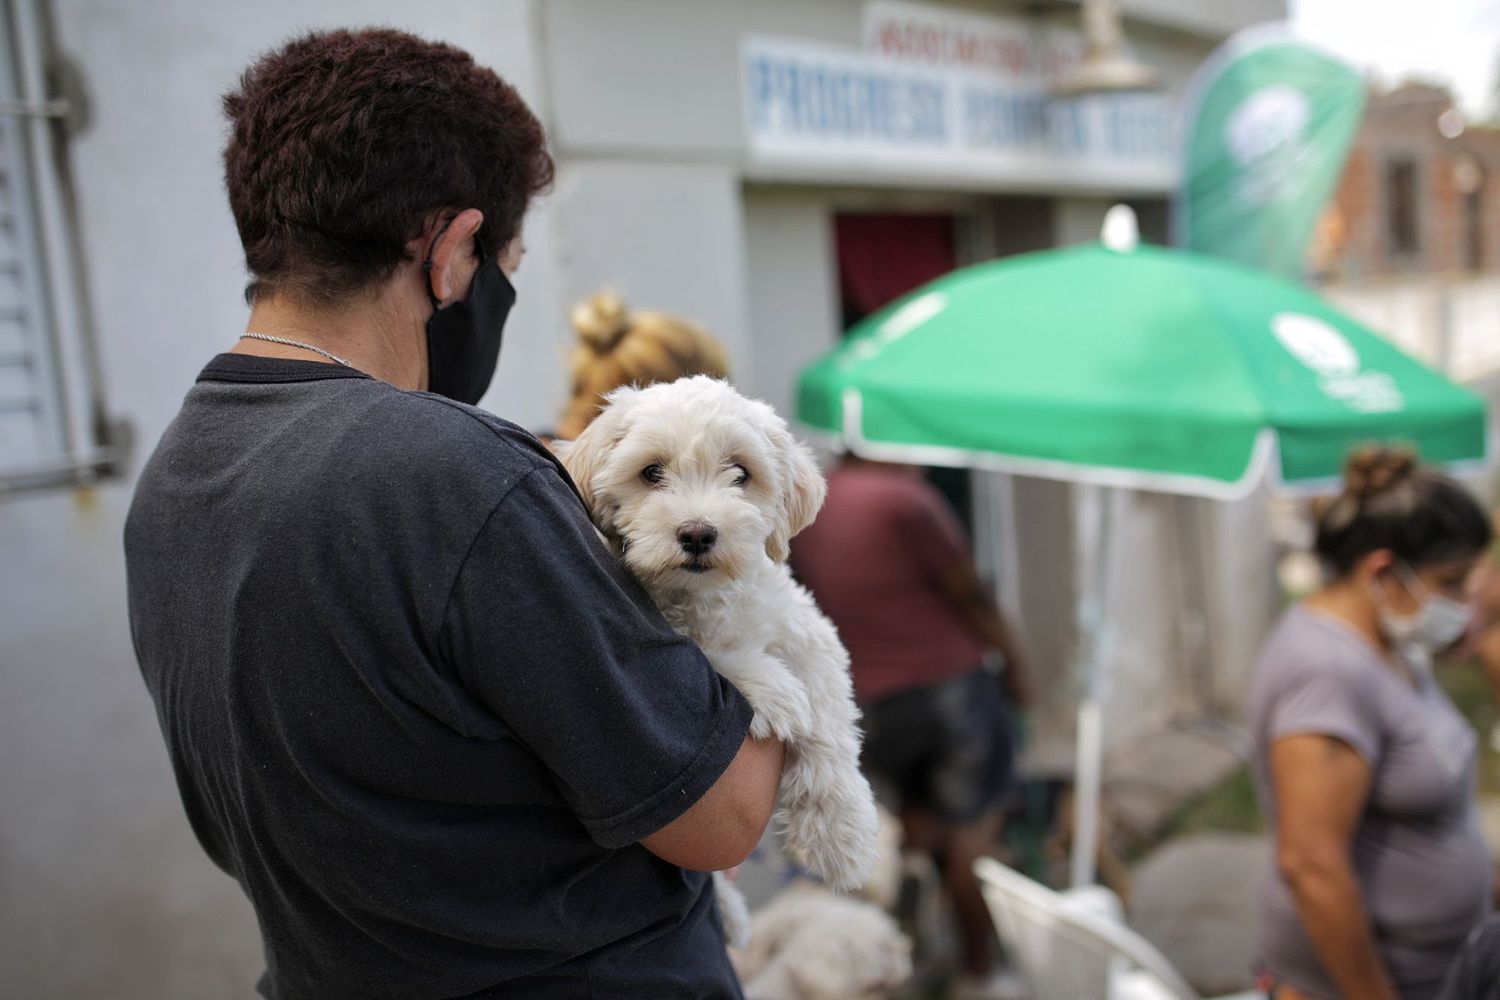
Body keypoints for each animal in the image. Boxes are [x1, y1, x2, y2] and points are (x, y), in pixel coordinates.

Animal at [561, 374, 876, 947]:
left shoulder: (807, 631)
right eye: (652, 472)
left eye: (740, 473)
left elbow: (829, 720)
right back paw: (727, 912)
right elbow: (710, 655)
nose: (697, 532)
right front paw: (772, 688)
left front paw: (843, 834)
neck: (704, 598)